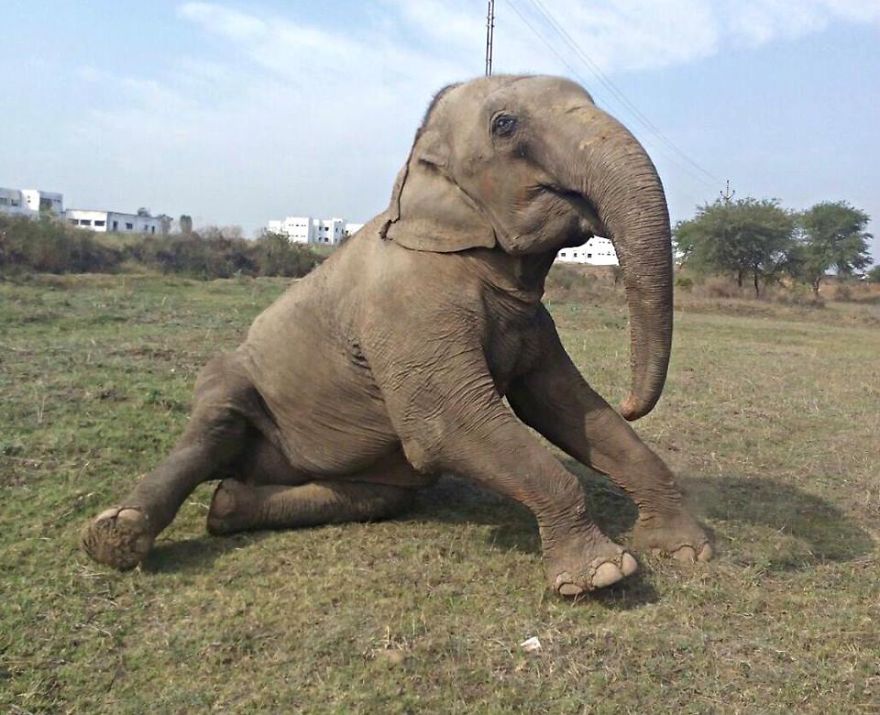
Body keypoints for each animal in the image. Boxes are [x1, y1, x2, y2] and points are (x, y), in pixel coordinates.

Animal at [82, 75, 711, 596]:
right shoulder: (406, 310)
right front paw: (603, 574)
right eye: (505, 125)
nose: (632, 402)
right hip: (237, 378)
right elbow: (444, 424)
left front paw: (687, 549)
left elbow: (567, 407)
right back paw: (115, 535)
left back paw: (228, 505)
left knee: (377, 495)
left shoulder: (532, 322)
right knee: (216, 419)